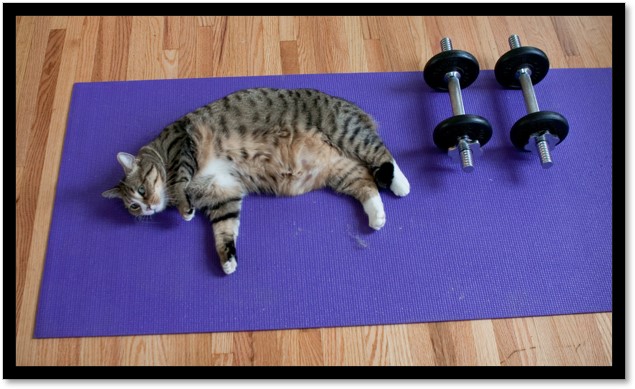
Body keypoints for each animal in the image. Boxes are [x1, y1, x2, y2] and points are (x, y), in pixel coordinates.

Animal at [102, 88, 410, 274]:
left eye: (142, 189)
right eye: (133, 206)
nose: (146, 208)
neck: (160, 153)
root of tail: (353, 107)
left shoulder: (182, 145)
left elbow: (179, 182)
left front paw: (183, 207)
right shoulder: (223, 194)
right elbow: (224, 230)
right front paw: (227, 260)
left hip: (347, 133)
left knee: (383, 154)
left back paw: (401, 184)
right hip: (339, 169)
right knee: (365, 179)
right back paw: (377, 215)